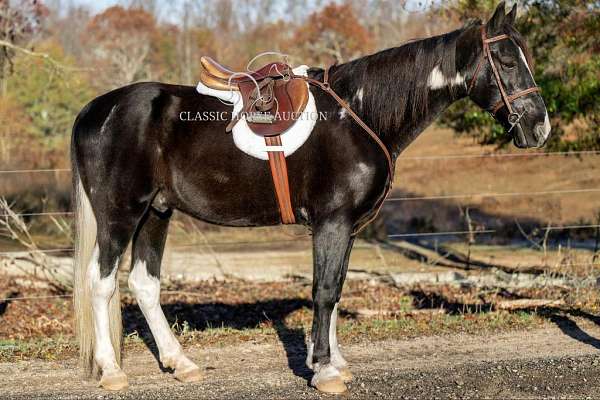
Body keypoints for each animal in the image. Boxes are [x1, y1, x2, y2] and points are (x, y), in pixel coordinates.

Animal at [70, 2, 548, 394]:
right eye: (506, 60)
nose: (540, 127)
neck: (356, 115)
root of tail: (95, 110)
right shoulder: (331, 221)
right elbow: (324, 290)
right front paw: (324, 370)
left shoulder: (347, 226)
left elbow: (335, 289)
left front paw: (335, 361)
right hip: (121, 215)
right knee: (102, 281)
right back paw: (112, 371)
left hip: (157, 212)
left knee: (144, 284)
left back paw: (181, 363)